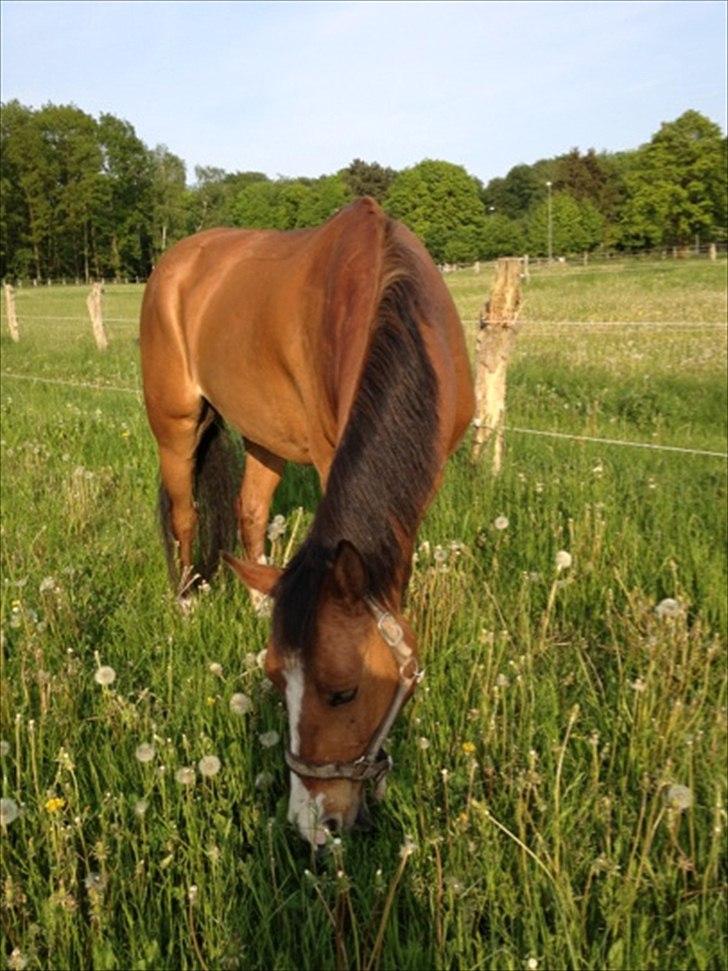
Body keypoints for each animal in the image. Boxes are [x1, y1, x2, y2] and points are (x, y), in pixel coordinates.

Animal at [139, 201, 474, 848]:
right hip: (175, 425)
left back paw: (254, 600)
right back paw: (186, 602)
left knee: (248, 511)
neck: (387, 292)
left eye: (343, 692)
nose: (313, 825)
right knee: (186, 515)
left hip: (263, 435)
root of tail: (176, 261)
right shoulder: (327, 452)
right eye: (273, 682)